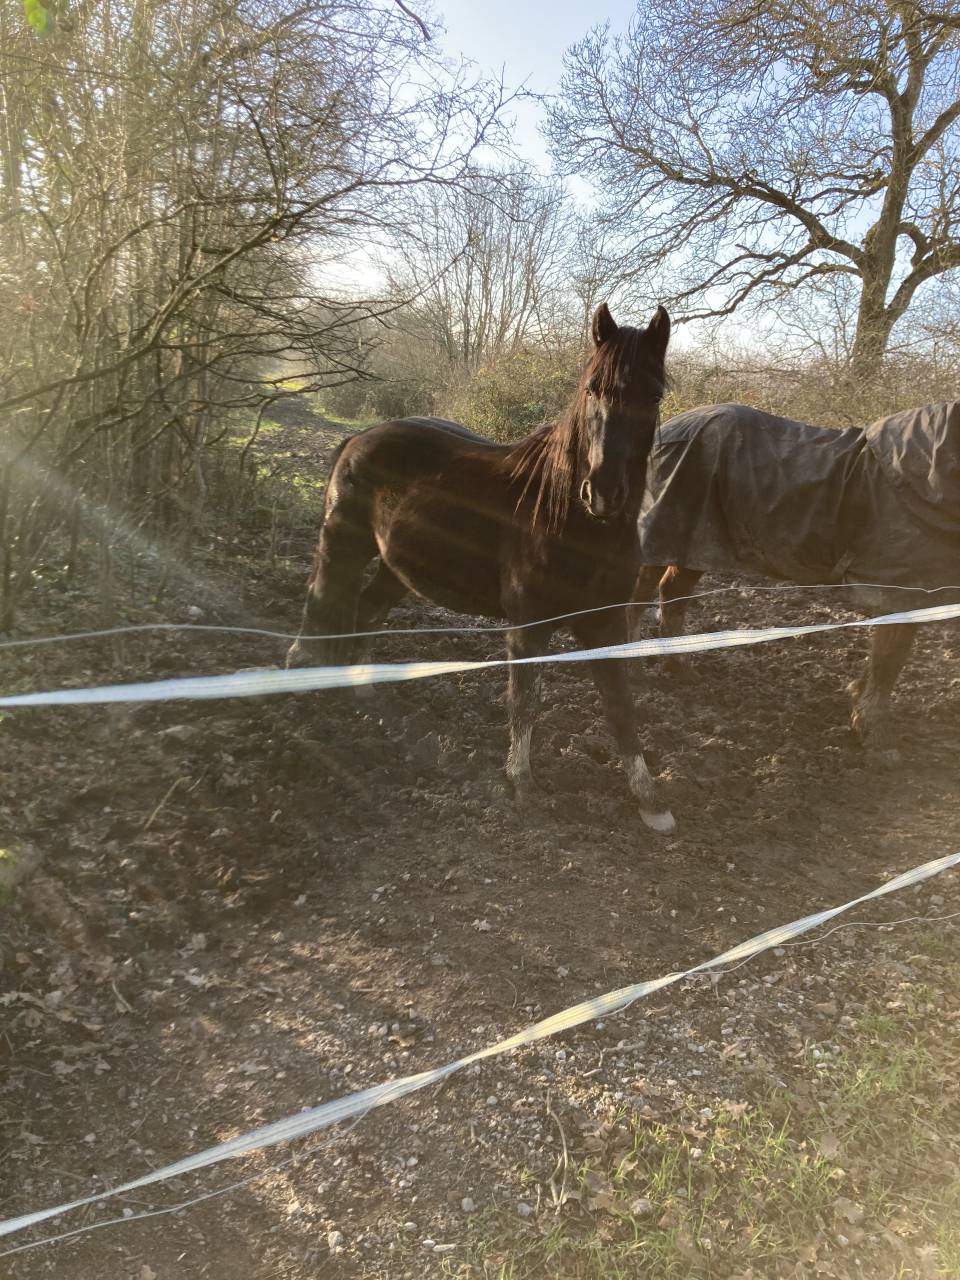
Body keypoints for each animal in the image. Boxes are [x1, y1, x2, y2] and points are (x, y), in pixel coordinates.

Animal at [287, 303, 677, 831]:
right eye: (592, 388)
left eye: (653, 394)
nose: (602, 493)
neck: (571, 521)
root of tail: (359, 437)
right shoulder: (528, 626)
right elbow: (524, 700)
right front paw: (522, 783)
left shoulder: (607, 624)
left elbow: (622, 708)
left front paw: (651, 801)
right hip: (343, 545)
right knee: (323, 600)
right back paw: (303, 676)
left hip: (397, 567)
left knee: (366, 611)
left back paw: (364, 689)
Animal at [628, 401, 960, 747]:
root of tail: (671, 427)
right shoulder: (902, 589)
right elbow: (889, 659)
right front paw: (873, 733)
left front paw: (858, 699)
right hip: (665, 532)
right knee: (639, 594)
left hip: (696, 543)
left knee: (671, 592)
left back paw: (677, 665)